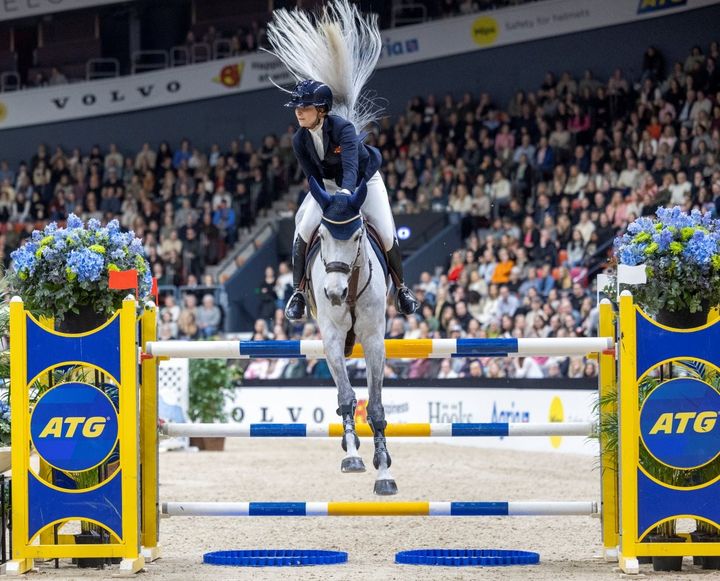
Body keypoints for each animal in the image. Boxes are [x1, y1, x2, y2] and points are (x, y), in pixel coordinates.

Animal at [303, 176, 397, 496]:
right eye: (321, 235)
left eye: (357, 238)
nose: (334, 293)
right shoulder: (331, 337)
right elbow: (346, 397)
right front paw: (353, 456)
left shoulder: (373, 340)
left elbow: (376, 406)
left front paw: (383, 470)